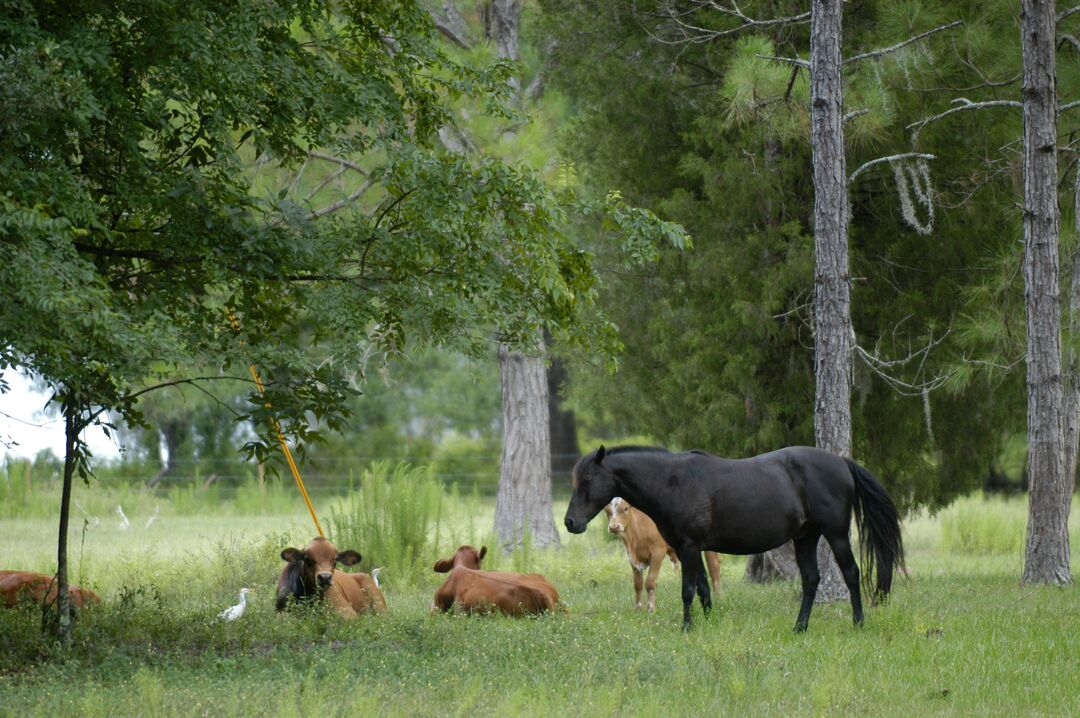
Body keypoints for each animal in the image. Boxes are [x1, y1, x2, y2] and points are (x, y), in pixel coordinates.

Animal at [565, 444, 902, 630]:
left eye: (588, 479)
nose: (570, 522)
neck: (672, 482)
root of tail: (842, 461)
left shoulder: (688, 548)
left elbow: (688, 590)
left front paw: (687, 628)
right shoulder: (690, 548)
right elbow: (703, 590)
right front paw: (708, 623)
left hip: (836, 534)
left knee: (851, 573)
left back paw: (858, 623)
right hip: (805, 537)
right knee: (811, 580)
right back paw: (799, 627)